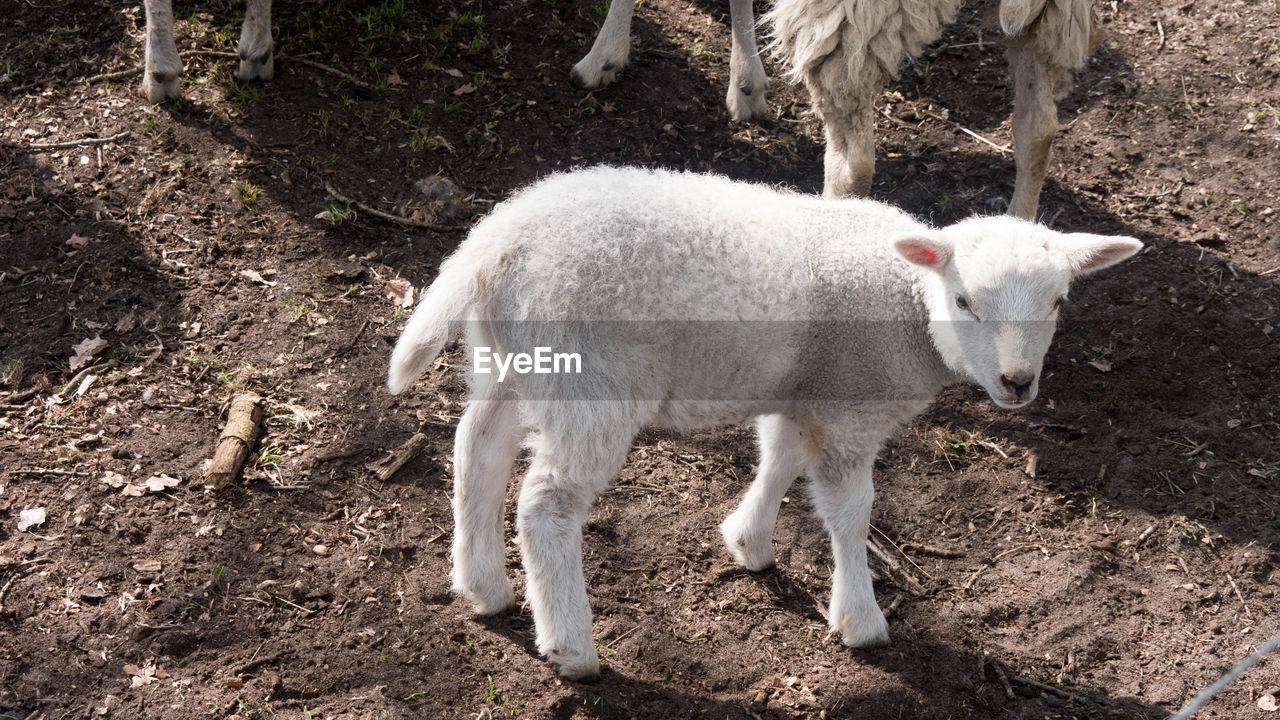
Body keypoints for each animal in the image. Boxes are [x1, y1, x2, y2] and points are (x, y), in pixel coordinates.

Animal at [384, 165, 1146, 676]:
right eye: (964, 301)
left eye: (1057, 302)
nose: (1018, 383)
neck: (904, 300)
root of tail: (493, 243)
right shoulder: (850, 404)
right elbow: (851, 515)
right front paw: (859, 617)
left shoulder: (803, 391)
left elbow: (780, 459)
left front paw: (747, 541)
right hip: (589, 379)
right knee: (545, 505)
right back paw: (571, 645)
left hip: (512, 357)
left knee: (476, 451)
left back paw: (482, 586)